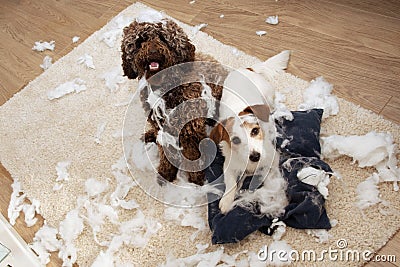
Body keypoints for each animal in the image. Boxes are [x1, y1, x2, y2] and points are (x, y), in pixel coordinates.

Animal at [122, 19, 227, 186]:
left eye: (163, 38)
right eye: (141, 40)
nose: (153, 51)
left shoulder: (190, 132)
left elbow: (192, 156)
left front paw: (196, 179)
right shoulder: (163, 130)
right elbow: (166, 154)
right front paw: (166, 173)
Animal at [209, 50, 290, 216]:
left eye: (255, 130)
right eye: (235, 140)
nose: (255, 156)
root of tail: (247, 69)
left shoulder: (273, 159)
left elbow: (270, 177)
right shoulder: (229, 165)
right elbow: (231, 183)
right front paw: (227, 200)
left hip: (268, 95)